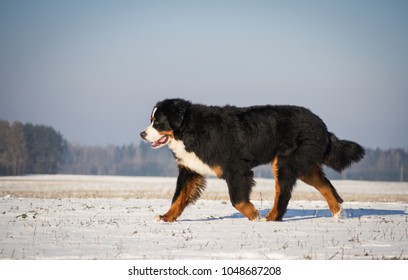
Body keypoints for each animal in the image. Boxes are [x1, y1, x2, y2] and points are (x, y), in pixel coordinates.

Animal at [139, 98, 364, 221]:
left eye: (157, 122)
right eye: (151, 120)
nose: (142, 134)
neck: (188, 130)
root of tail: (321, 124)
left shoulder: (236, 169)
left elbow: (237, 200)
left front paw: (254, 215)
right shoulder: (189, 169)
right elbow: (178, 199)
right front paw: (166, 217)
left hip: (285, 162)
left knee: (283, 194)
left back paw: (270, 218)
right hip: (304, 165)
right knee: (326, 186)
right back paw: (338, 213)